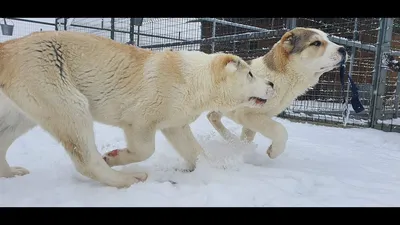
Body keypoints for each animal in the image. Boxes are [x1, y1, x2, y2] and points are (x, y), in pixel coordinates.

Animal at [0, 30, 276, 188]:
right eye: (250, 74)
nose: (272, 84)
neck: (194, 80)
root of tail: (8, 47)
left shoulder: (176, 123)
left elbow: (193, 149)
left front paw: (211, 169)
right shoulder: (140, 118)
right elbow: (145, 148)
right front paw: (114, 156)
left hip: (23, 110)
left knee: (6, 135)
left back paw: (12, 172)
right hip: (58, 88)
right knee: (84, 156)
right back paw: (128, 178)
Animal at [206, 27, 346, 158]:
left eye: (327, 38)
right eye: (316, 43)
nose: (343, 49)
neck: (281, 77)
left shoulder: (257, 119)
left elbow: (247, 138)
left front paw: (243, 151)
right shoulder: (247, 114)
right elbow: (280, 130)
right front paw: (274, 151)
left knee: (212, 116)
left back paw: (231, 139)